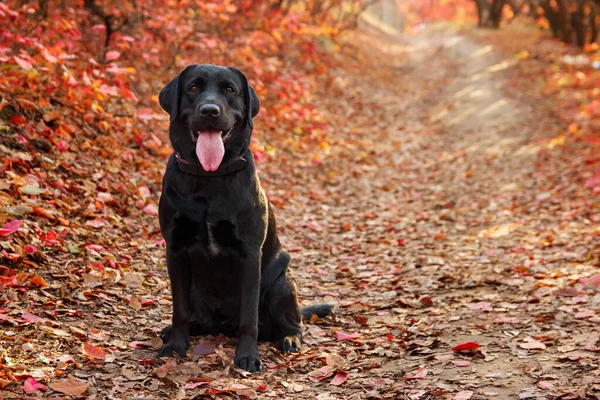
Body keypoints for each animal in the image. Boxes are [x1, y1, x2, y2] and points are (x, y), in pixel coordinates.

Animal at [155, 64, 332, 374]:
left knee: (293, 323)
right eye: (193, 88)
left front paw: (248, 356)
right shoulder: (175, 250)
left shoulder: (250, 255)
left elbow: (249, 316)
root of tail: (222, 326)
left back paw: (289, 339)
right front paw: (176, 344)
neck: (209, 178)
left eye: (230, 90)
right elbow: (179, 310)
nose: (210, 111)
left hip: (281, 282)